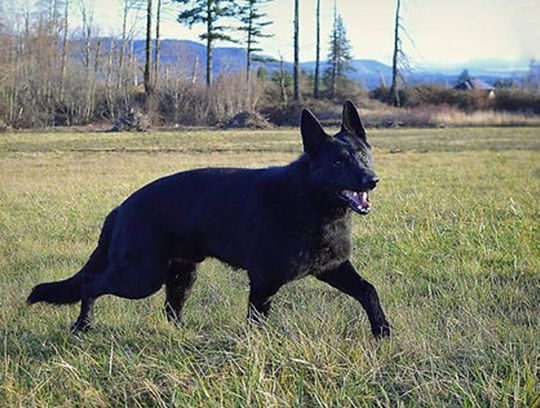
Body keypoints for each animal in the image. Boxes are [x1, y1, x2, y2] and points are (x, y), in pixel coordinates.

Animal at [27, 102, 390, 338]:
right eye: (337, 161)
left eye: (362, 155)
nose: (372, 180)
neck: (310, 201)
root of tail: (121, 208)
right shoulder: (264, 281)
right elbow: (256, 322)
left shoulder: (333, 268)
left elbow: (368, 291)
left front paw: (382, 331)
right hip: (140, 279)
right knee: (91, 284)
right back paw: (83, 325)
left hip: (181, 275)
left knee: (170, 310)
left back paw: (183, 336)